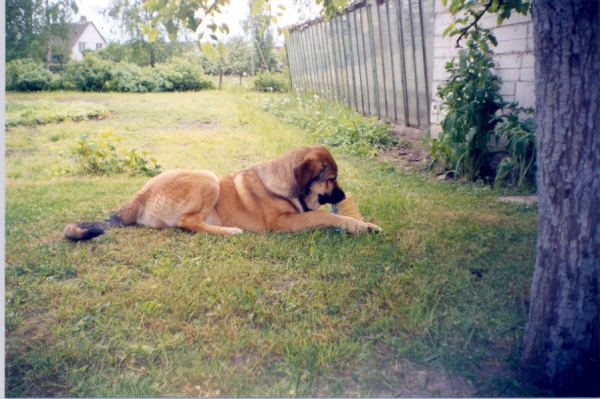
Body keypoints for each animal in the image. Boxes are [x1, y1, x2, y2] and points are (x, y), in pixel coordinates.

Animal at [63, 146, 382, 242]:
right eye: (331, 179)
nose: (343, 197)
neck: (284, 184)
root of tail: (141, 194)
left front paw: (369, 224)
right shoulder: (283, 222)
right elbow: (325, 217)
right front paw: (354, 225)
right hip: (207, 179)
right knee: (188, 223)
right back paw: (229, 231)